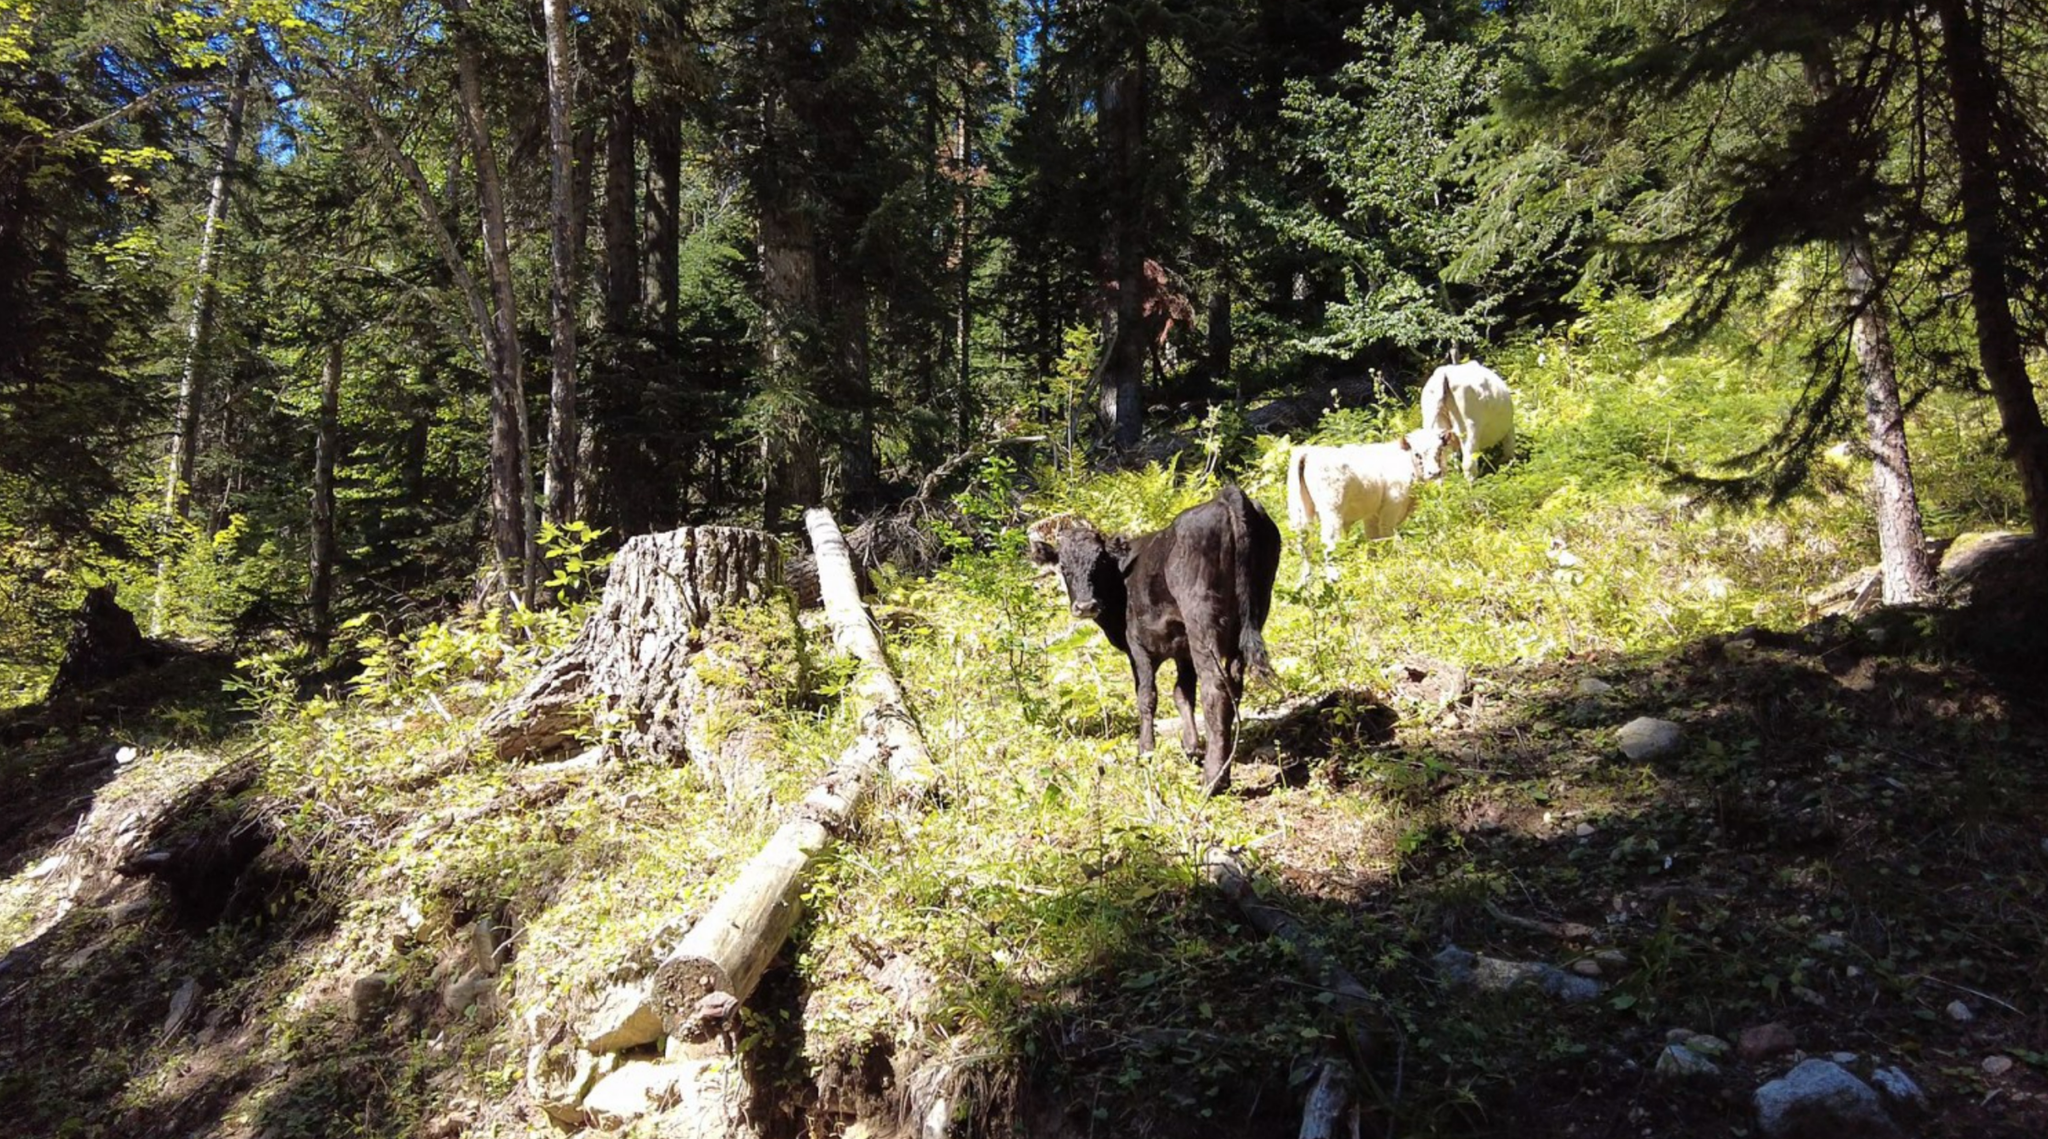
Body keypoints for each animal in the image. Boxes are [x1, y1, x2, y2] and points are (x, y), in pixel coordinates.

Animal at [1024, 485, 1277, 794]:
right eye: (1063, 566)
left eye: (1100, 562)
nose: (1085, 606)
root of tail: (1225, 497)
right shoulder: (1182, 650)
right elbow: (1182, 694)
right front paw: (1191, 747)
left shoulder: (1138, 647)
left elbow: (1146, 696)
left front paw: (1145, 751)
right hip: (1255, 609)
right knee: (1234, 686)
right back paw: (1223, 770)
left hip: (1202, 618)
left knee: (1215, 688)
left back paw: (1212, 780)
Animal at [1277, 432, 1458, 581]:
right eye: (1417, 453)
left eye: (1439, 450)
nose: (1434, 473)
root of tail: (1310, 452)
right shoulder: (1391, 508)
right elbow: (1387, 536)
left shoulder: (1372, 514)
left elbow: (1372, 539)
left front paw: (1374, 563)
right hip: (1331, 511)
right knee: (1328, 541)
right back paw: (1334, 576)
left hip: (1300, 511)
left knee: (1304, 543)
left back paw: (1306, 580)